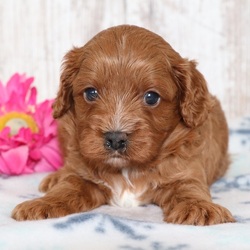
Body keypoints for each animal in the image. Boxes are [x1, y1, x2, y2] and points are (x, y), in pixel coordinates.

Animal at [11, 24, 234, 225]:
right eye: (90, 93)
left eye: (152, 97)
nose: (116, 138)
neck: (126, 170)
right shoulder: (81, 173)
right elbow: (67, 187)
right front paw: (40, 204)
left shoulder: (185, 172)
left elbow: (190, 188)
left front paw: (199, 208)